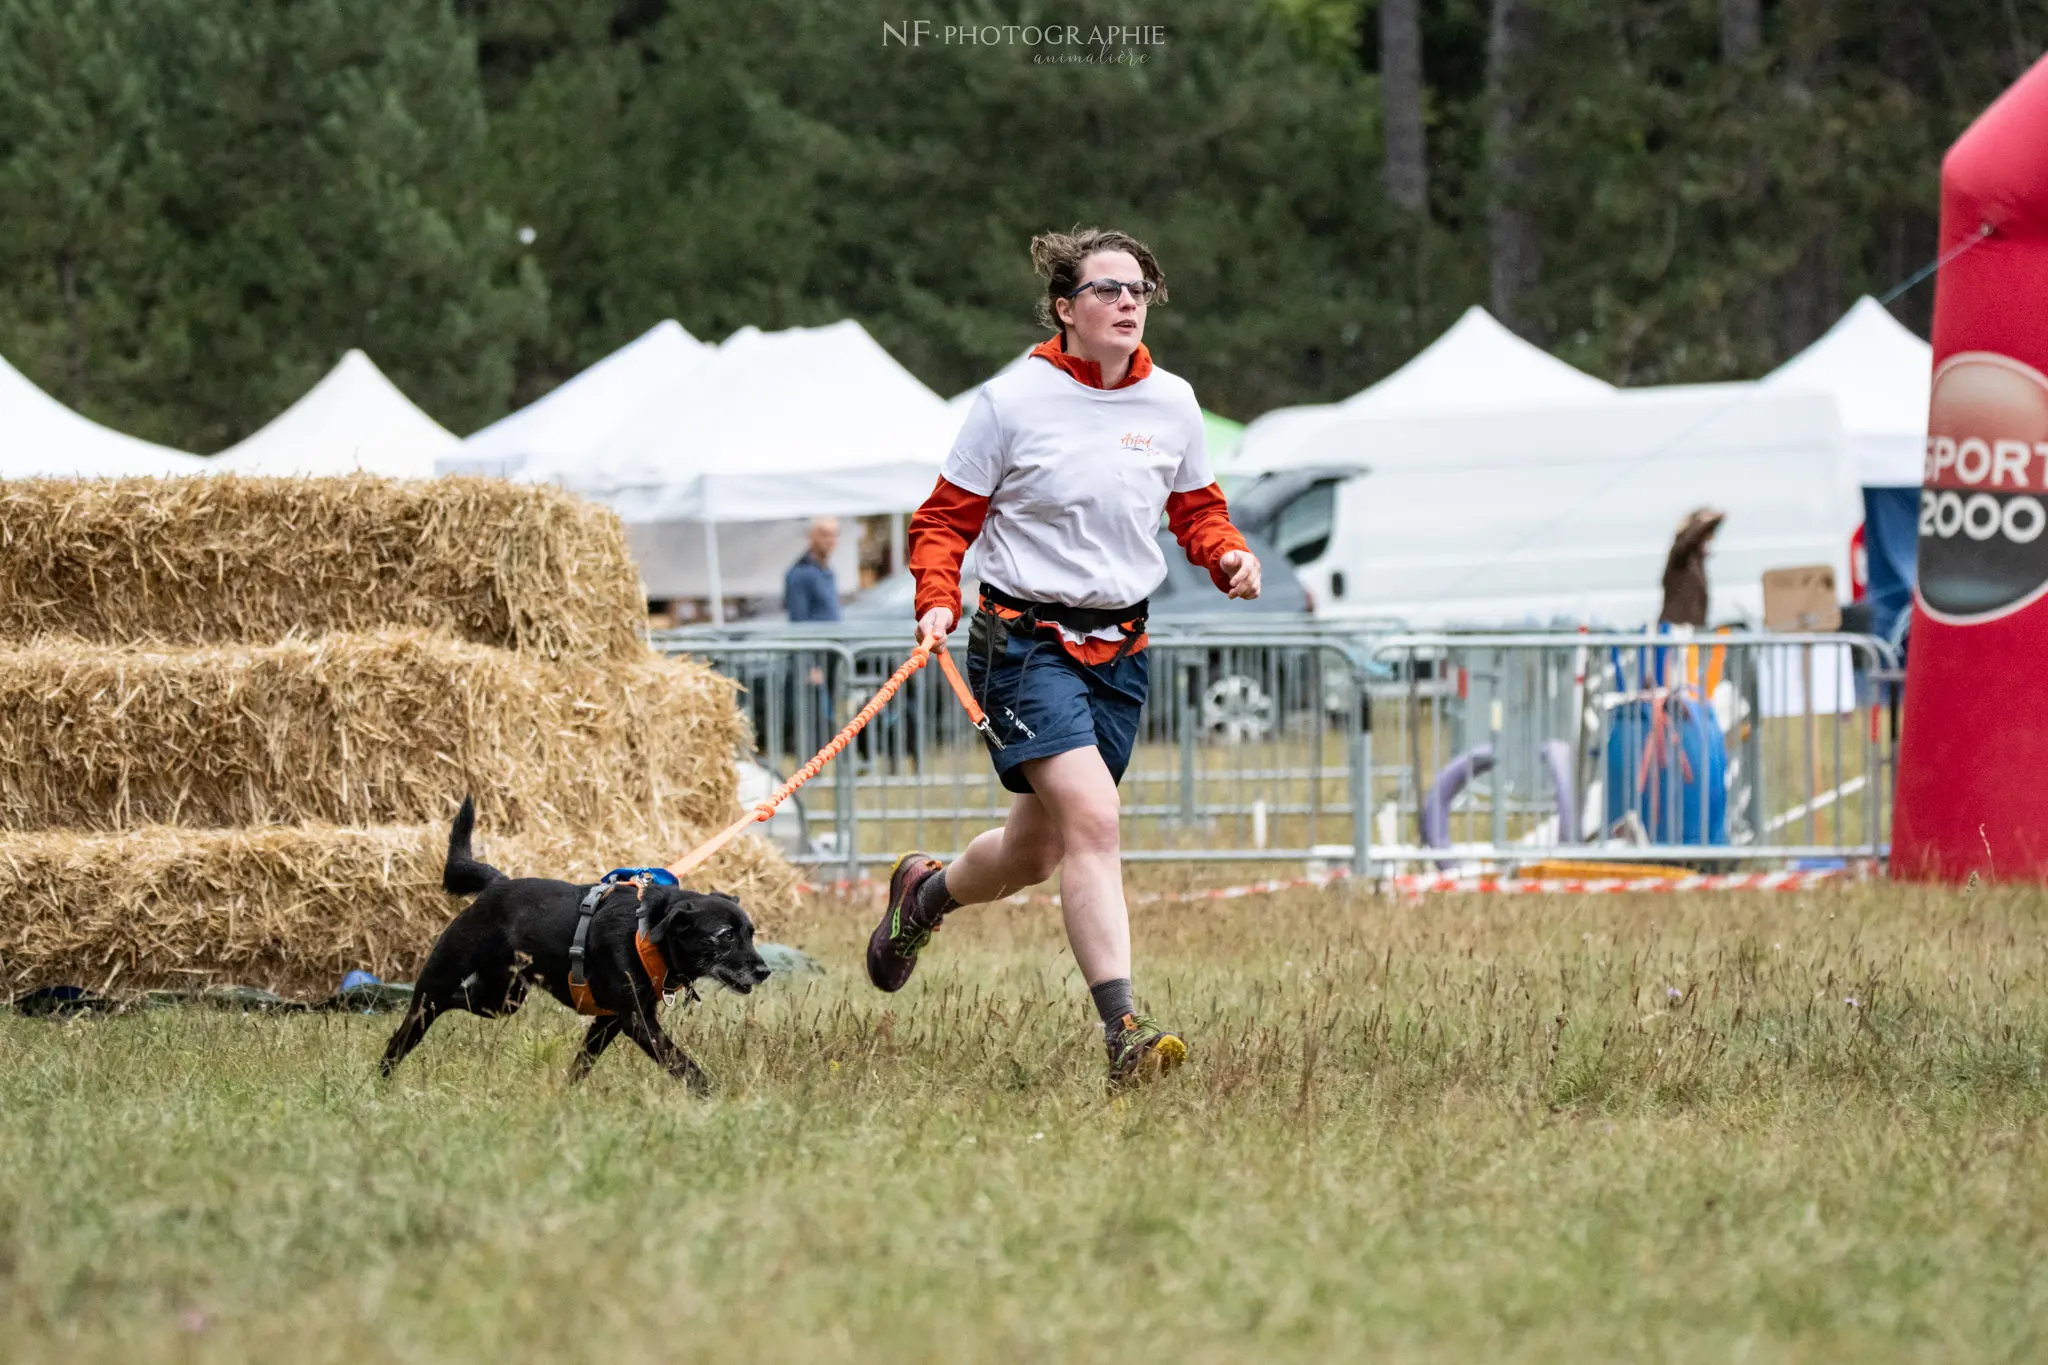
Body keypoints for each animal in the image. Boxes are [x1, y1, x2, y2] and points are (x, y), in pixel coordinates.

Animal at [380, 794, 770, 1096]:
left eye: (750, 933)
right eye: (725, 935)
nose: (764, 971)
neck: (647, 933)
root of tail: (496, 884)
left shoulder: (609, 1020)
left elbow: (582, 1063)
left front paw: (565, 1098)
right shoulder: (637, 1020)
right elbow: (681, 1063)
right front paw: (711, 1096)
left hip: (502, 998)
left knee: (459, 999)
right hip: (442, 979)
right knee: (415, 1021)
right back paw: (380, 1079)